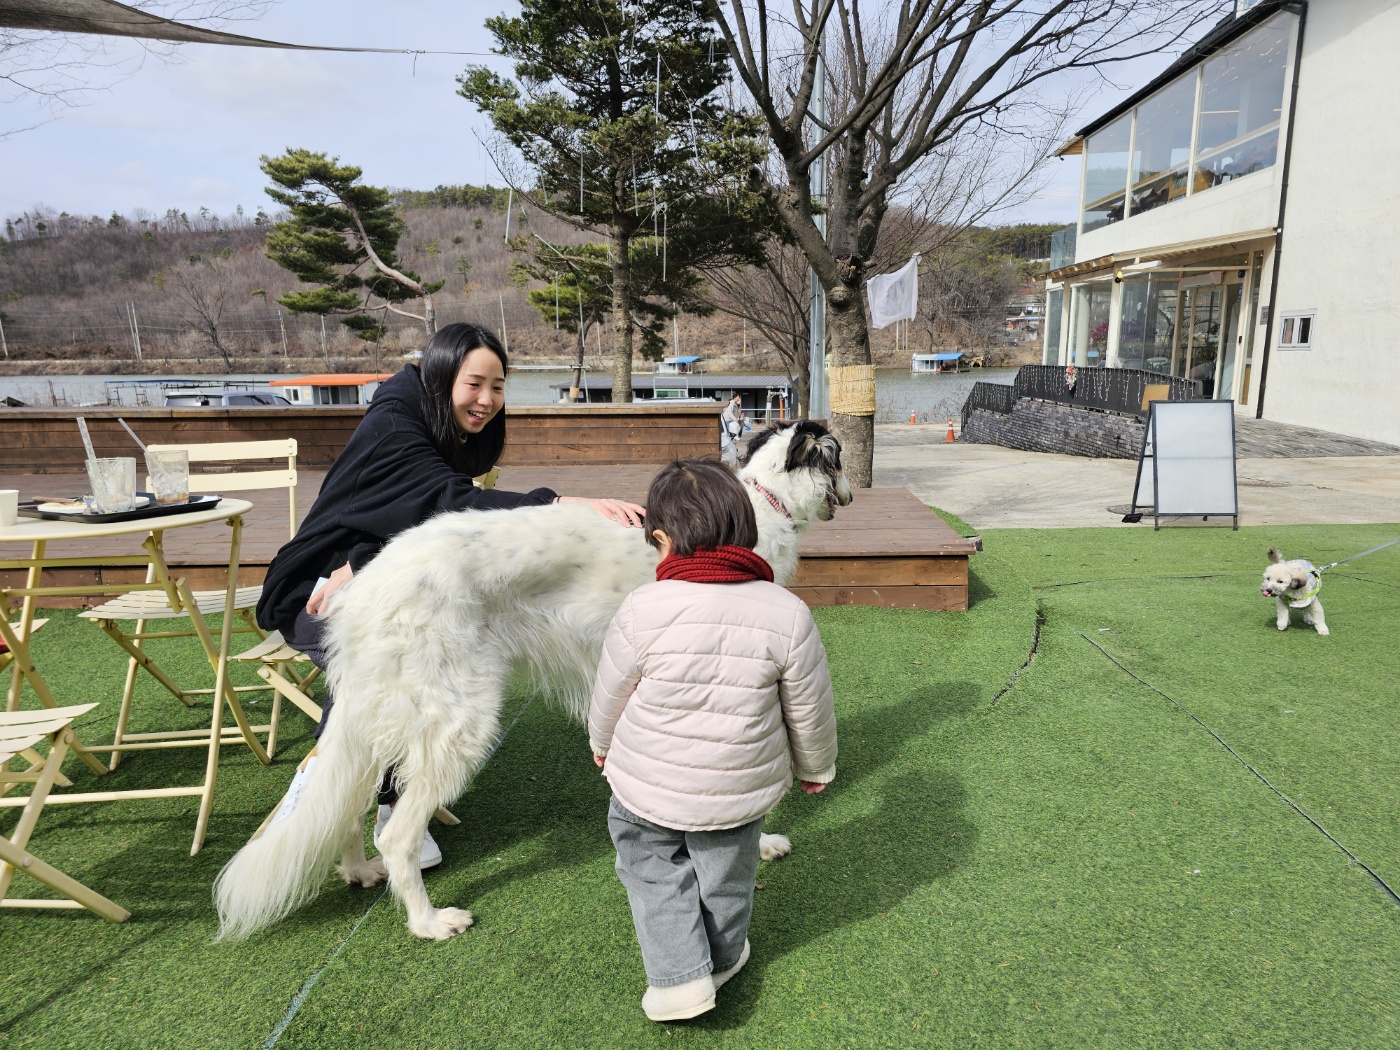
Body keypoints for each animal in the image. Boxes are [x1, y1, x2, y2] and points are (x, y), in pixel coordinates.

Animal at [215, 422, 851, 940]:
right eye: (840, 457)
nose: (850, 495)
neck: (762, 504)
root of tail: (360, 592)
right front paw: (762, 844)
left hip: (378, 720)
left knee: (347, 805)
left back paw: (357, 871)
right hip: (458, 721)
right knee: (394, 836)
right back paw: (429, 921)